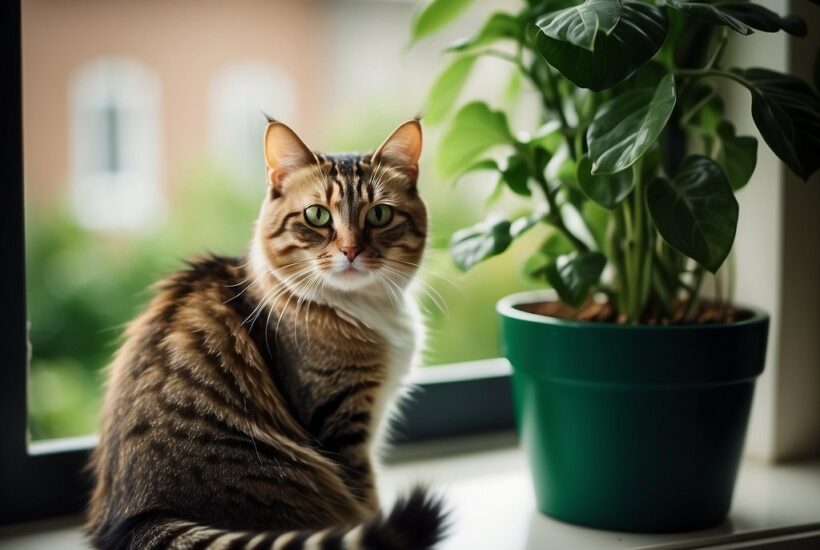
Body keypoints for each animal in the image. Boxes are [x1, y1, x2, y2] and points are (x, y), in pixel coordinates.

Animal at [85, 118, 446, 548]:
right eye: (317, 216)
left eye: (379, 215)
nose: (351, 251)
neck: (363, 306)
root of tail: (142, 518)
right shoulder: (339, 421)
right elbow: (368, 502)